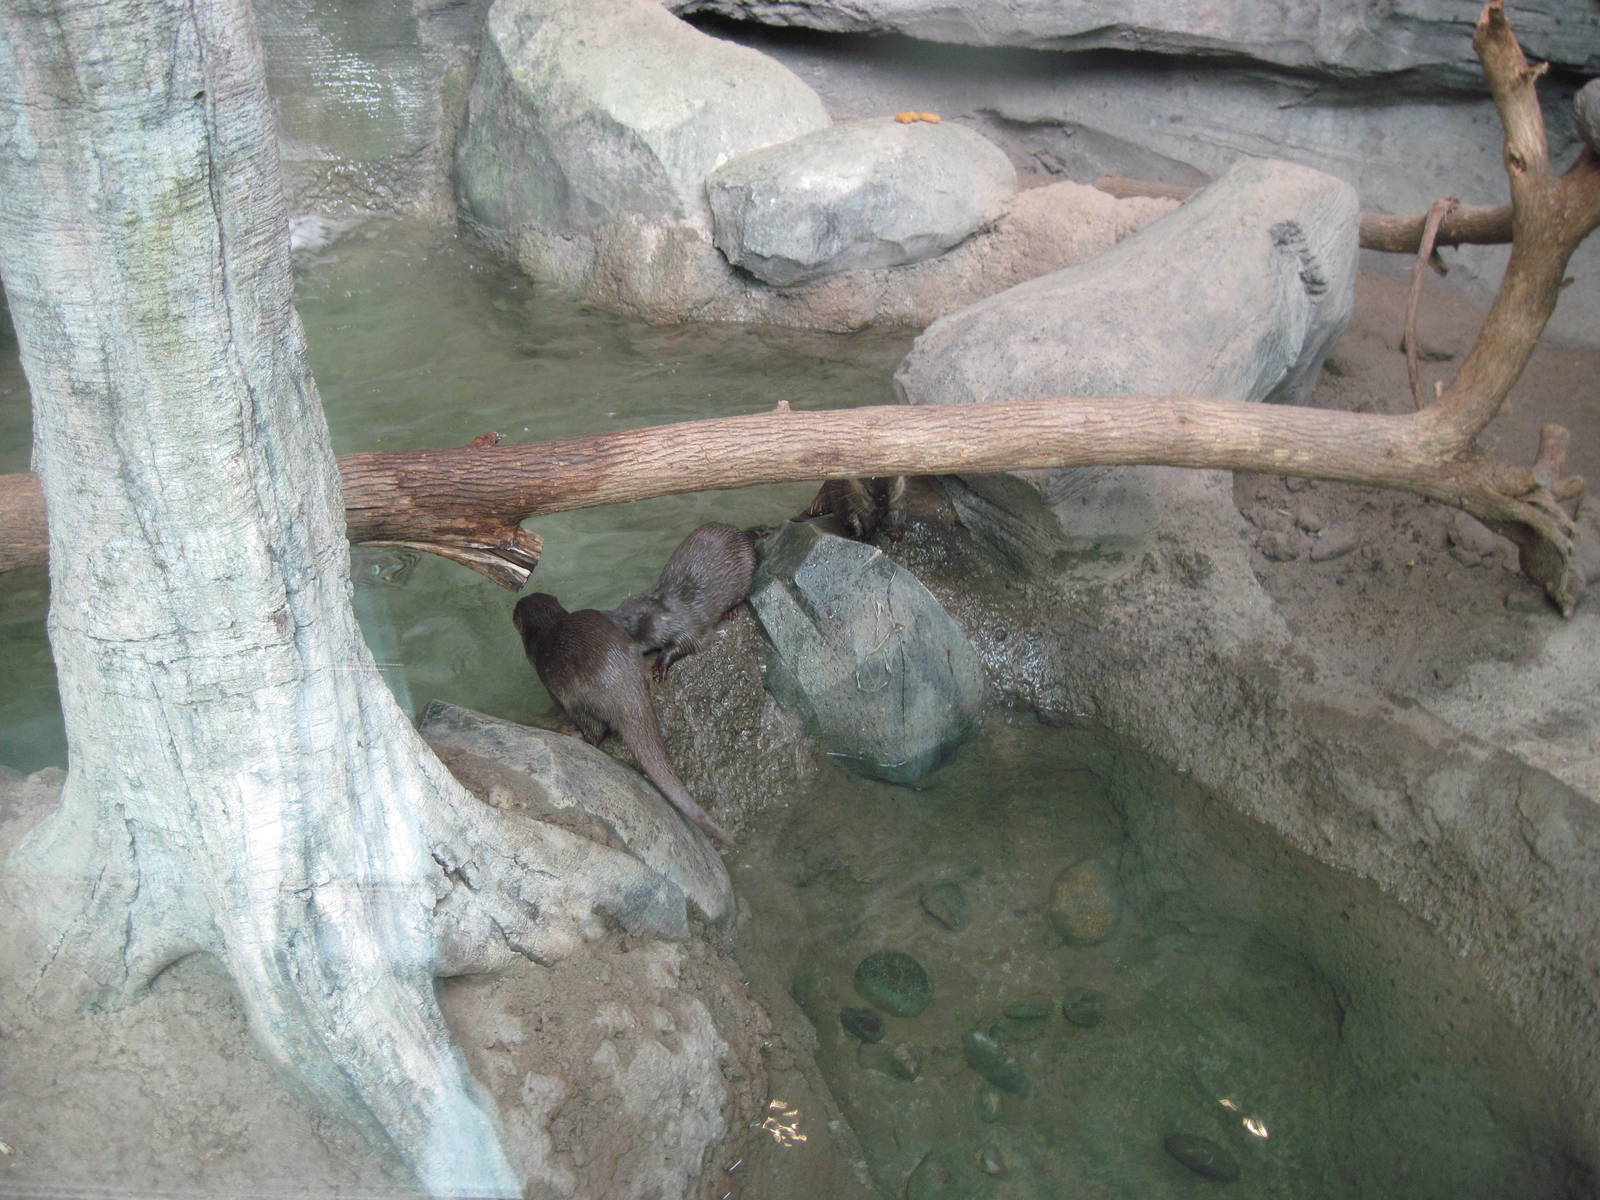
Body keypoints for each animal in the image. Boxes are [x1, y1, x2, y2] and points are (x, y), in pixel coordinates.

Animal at [512, 593, 734, 848]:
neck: (545, 629)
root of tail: (620, 685)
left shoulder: (546, 677)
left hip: (577, 698)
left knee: (594, 731)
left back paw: (572, 732)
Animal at [608, 522, 756, 681]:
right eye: (617, 609)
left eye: (625, 621)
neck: (669, 616)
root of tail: (740, 533)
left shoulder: (690, 627)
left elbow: (687, 643)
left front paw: (659, 666)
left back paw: (730, 612)